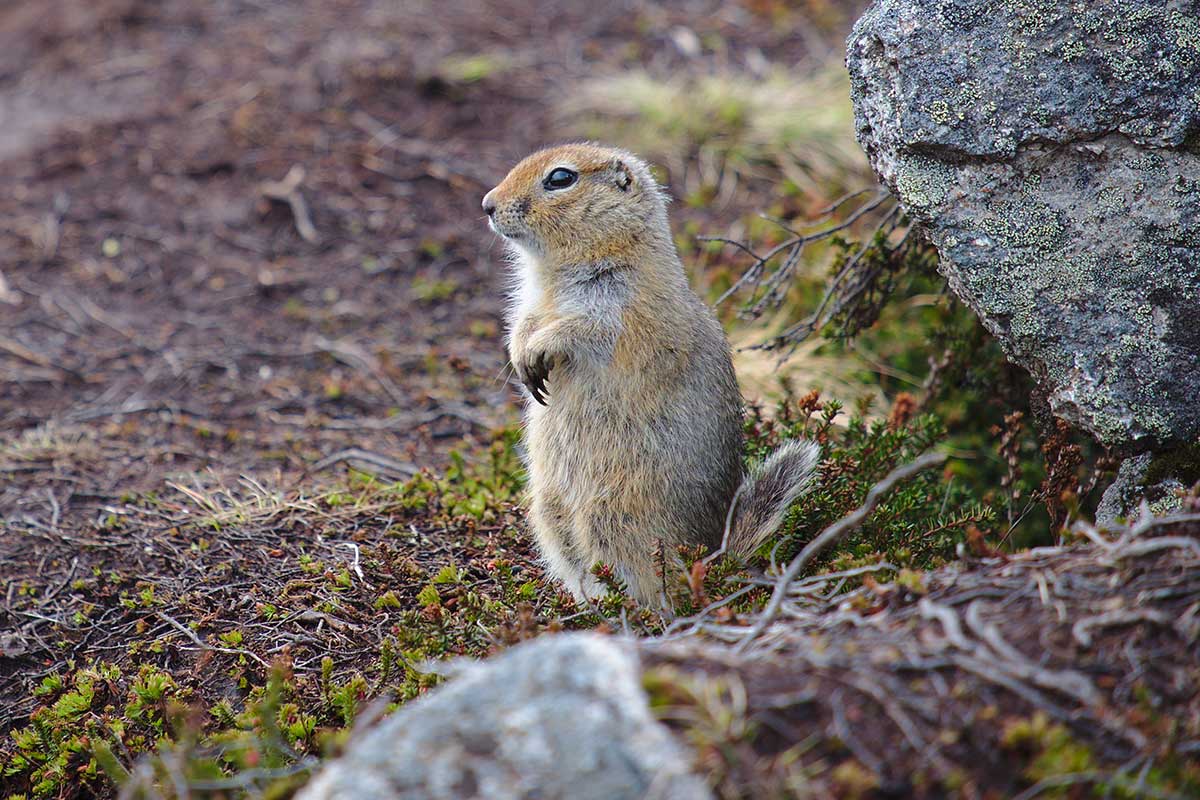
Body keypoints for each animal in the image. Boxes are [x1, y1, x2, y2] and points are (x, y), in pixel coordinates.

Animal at [482, 145, 820, 606]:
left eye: (560, 178)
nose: (487, 204)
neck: (556, 271)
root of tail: (713, 556)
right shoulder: (532, 303)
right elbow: (522, 322)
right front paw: (521, 358)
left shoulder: (618, 306)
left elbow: (585, 330)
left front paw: (538, 350)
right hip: (548, 511)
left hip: (614, 516)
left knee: (655, 586)